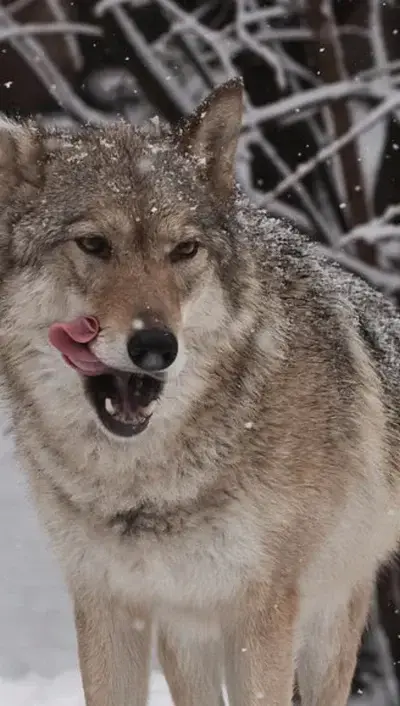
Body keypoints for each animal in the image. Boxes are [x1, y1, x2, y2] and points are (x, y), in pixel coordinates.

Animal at [1, 78, 400, 706]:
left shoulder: (260, 615)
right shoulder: (107, 607)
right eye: (93, 244)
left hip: (327, 621)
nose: (155, 346)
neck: (144, 486)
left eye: (184, 250)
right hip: (188, 637)